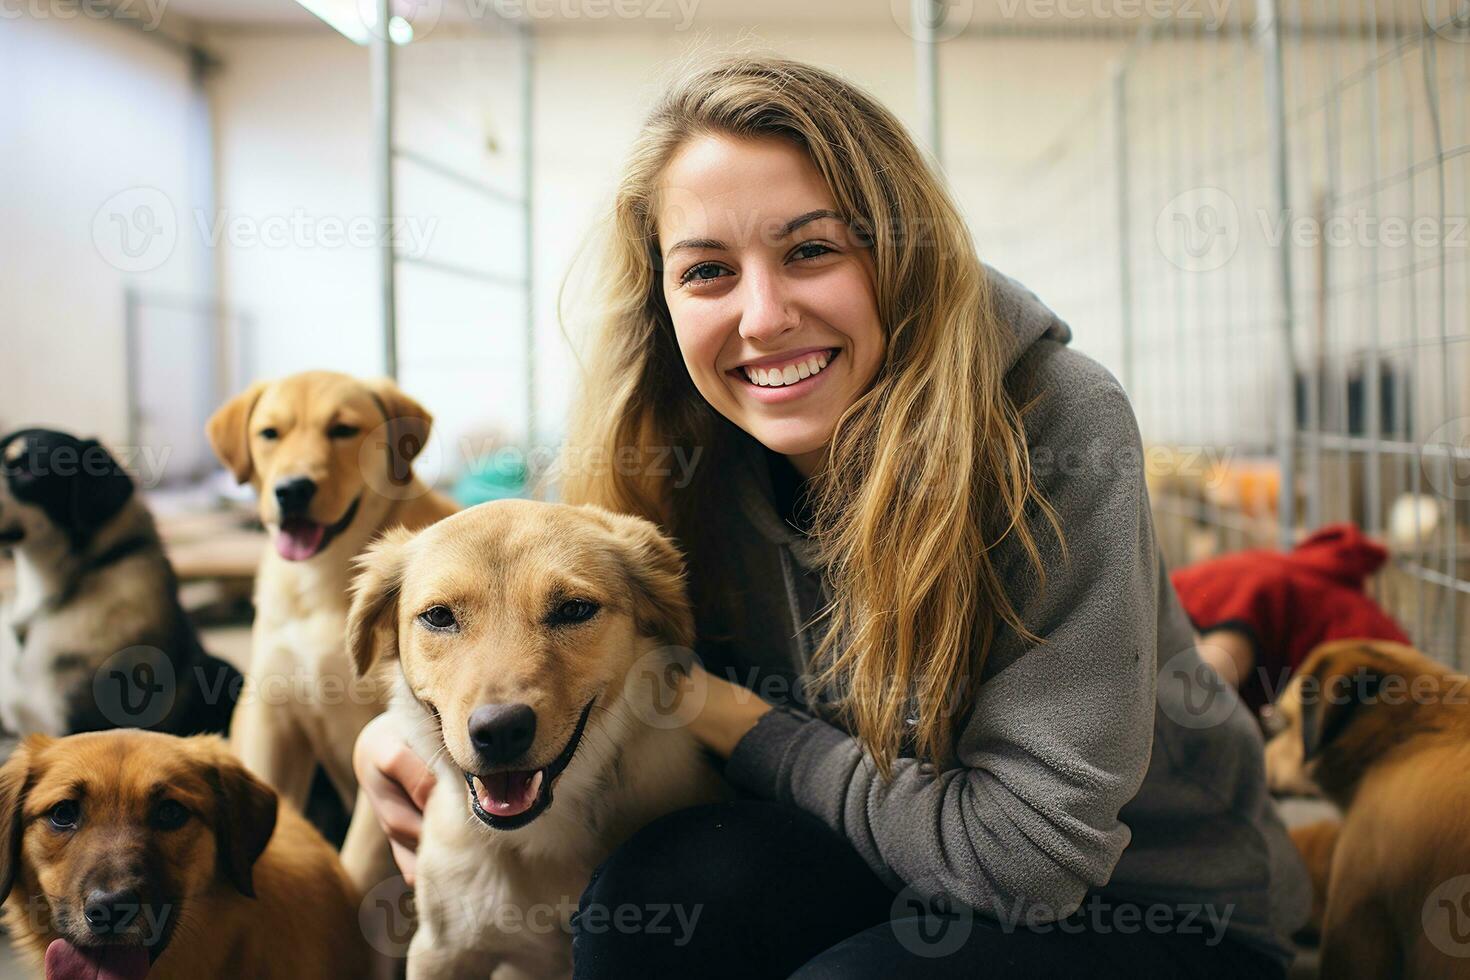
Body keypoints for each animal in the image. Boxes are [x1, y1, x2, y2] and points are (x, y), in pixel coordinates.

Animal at [207, 370, 455, 899]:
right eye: (270, 433)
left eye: (342, 430)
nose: (293, 490)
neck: (322, 581)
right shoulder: (272, 718)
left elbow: (356, 868)